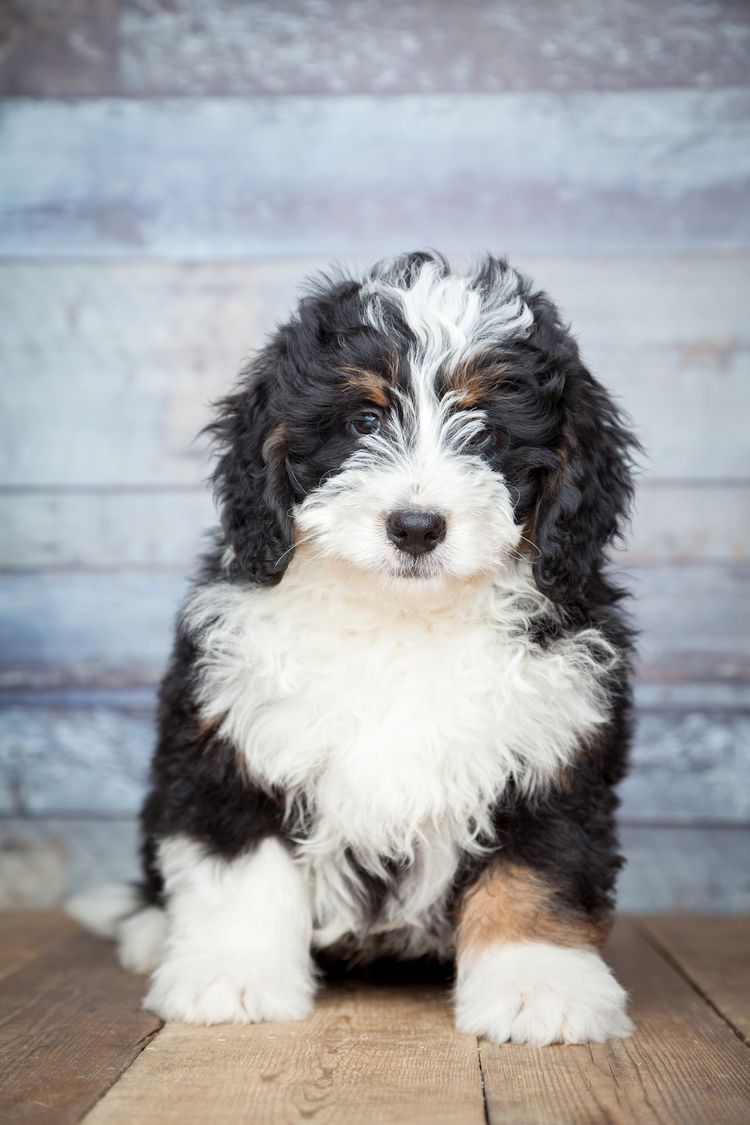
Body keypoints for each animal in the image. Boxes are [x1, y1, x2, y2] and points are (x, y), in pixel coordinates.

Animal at [68, 250, 638, 1039]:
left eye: (487, 432)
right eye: (366, 418)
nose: (416, 526)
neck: (401, 615)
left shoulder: (555, 746)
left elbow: (540, 869)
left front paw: (540, 987)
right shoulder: (232, 738)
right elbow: (238, 865)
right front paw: (232, 976)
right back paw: (154, 933)